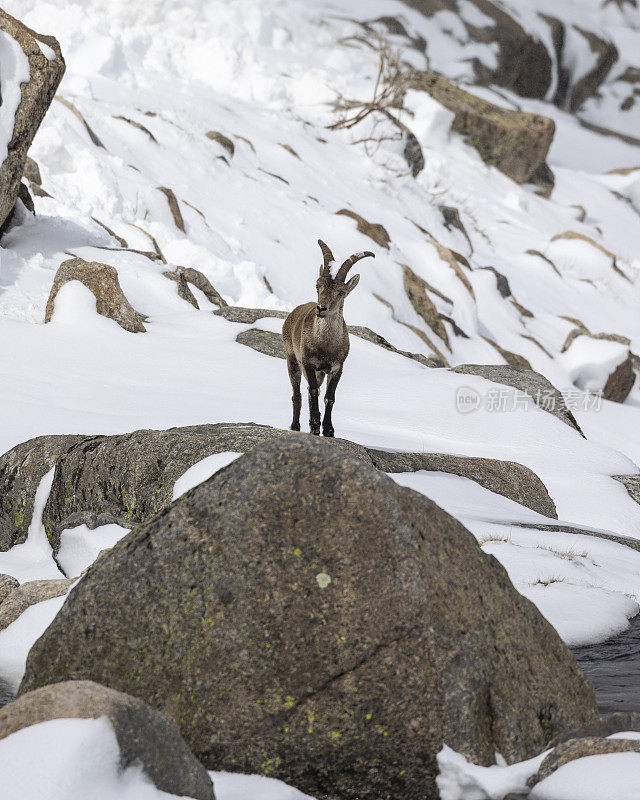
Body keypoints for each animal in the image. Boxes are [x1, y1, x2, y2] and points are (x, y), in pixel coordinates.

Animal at [282, 239, 376, 438]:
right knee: (298, 394)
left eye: (341, 292)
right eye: (317, 286)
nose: (321, 308)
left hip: (319, 372)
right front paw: (316, 426)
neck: (325, 346)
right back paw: (296, 426)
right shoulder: (308, 363)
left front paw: (328, 429)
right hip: (292, 360)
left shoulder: (336, 368)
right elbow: (314, 391)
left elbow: (329, 397)